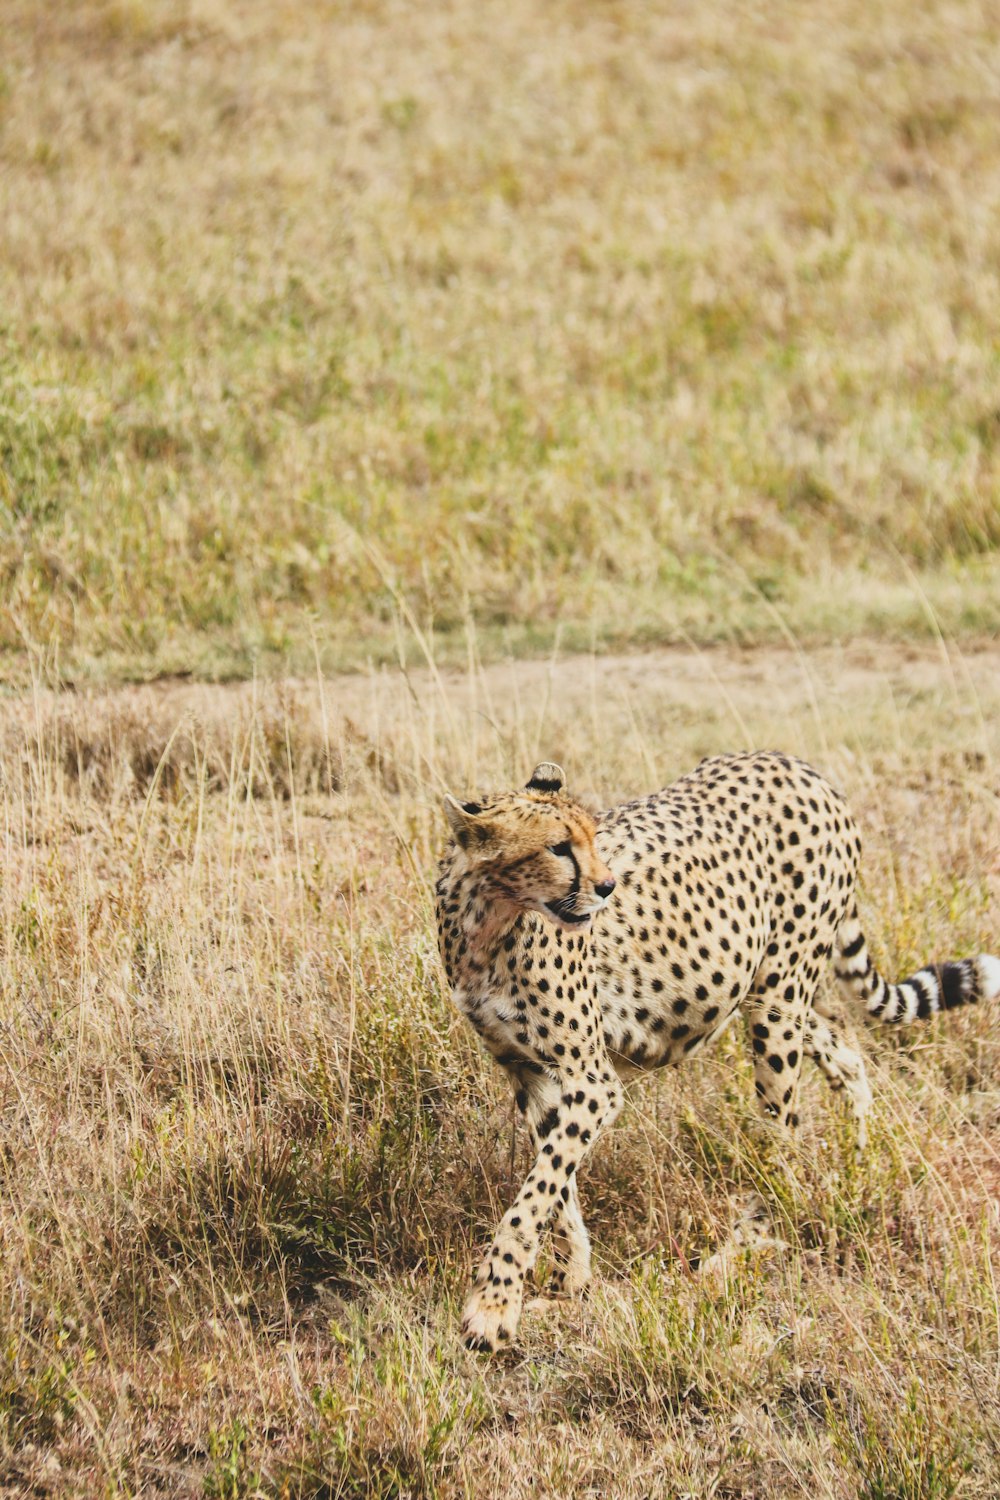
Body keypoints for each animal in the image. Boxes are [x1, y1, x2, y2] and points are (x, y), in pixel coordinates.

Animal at [437, 756, 1000, 1356]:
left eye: (592, 837)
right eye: (558, 847)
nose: (608, 886)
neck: (487, 921)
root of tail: (799, 765)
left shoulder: (591, 1081)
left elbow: (535, 1194)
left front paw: (492, 1311)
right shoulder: (530, 1074)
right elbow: (554, 1190)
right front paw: (570, 1284)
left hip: (777, 1005)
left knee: (782, 1128)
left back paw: (745, 1246)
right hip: (769, 992)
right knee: (844, 1055)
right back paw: (856, 1163)